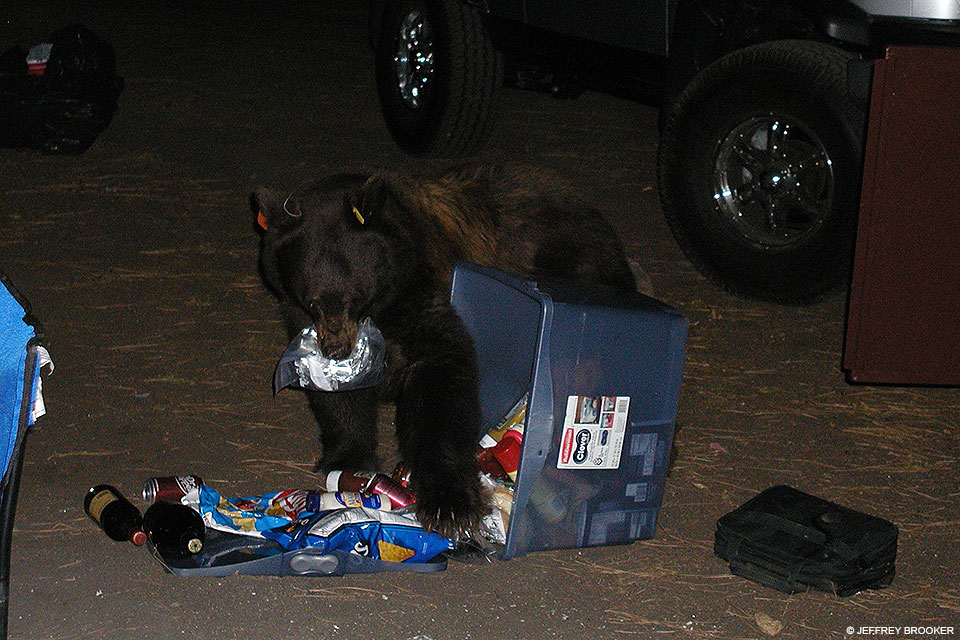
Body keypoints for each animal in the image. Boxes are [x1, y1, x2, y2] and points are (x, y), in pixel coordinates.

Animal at [255, 163, 641, 539]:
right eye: (312, 300)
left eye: (356, 296)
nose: (336, 350)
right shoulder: (300, 316)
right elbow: (337, 396)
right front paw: (348, 459)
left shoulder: (422, 294)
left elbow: (441, 381)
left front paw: (449, 502)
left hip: (577, 263)